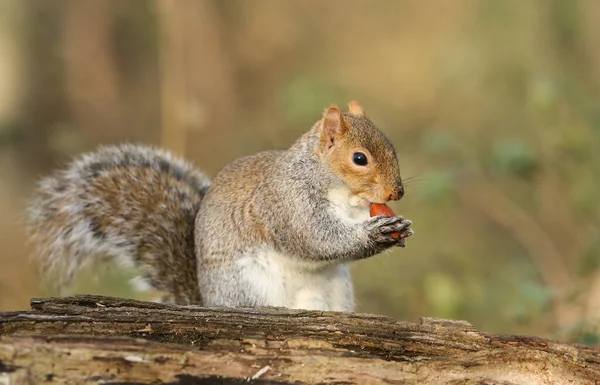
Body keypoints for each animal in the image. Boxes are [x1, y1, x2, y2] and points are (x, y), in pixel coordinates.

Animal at [24, 103, 412, 312]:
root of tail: (208, 301)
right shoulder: (287, 203)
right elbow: (317, 239)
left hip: (336, 293)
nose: (397, 192)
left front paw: (398, 229)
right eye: (359, 158)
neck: (344, 195)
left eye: (392, 146)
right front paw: (376, 233)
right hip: (250, 286)